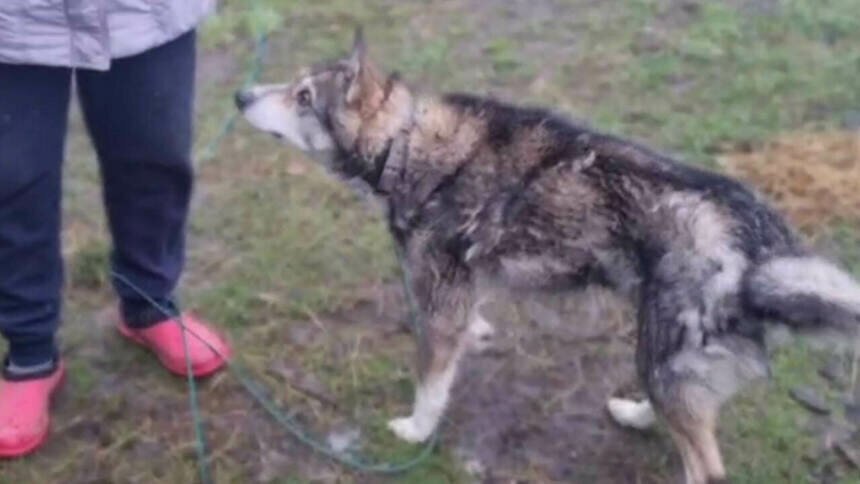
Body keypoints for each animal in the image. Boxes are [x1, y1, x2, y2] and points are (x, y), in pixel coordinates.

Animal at [233, 28, 860, 482]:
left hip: (659, 354)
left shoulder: (438, 307)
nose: (240, 95)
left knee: (705, 466)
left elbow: (430, 387)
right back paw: (636, 414)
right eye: (292, 84)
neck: (404, 146)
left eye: (303, 97)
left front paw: (415, 431)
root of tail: (759, 256)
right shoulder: (461, 289)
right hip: (663, 361)